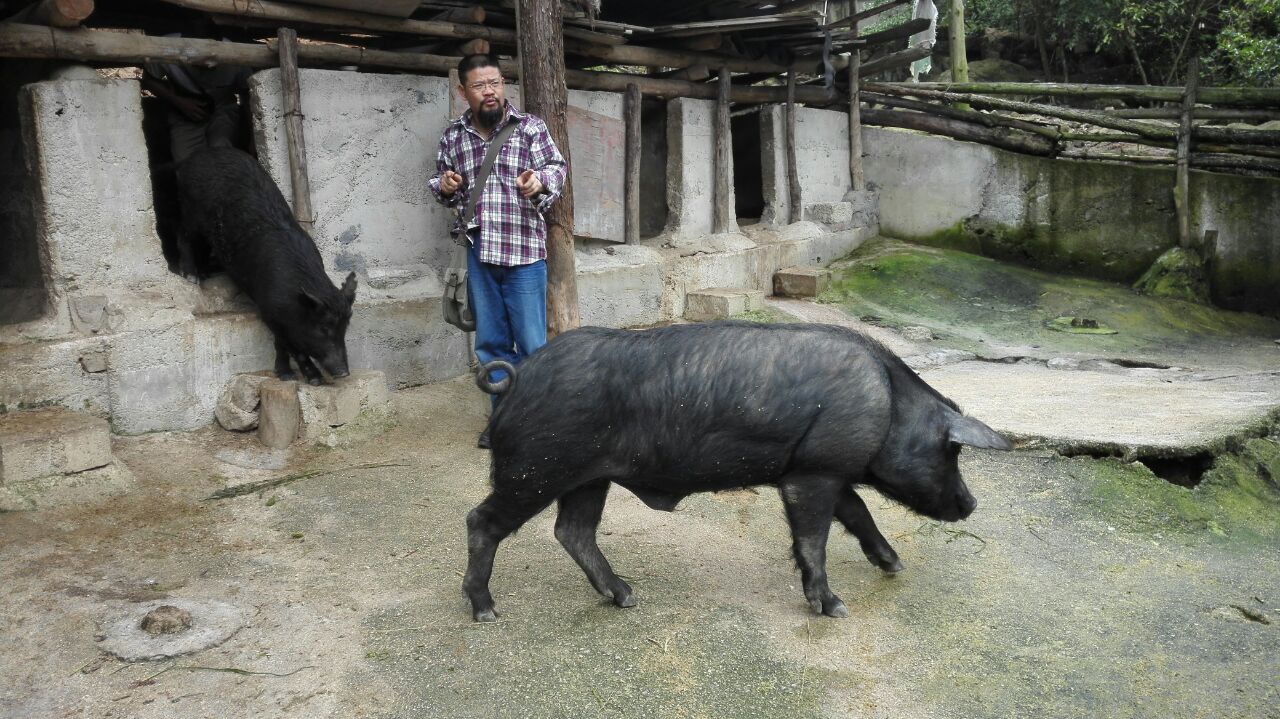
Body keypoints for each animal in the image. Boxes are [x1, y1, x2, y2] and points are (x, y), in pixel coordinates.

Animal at [172, 144, 355, 381]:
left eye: (344, 328)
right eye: (323, 328)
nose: (344, 372)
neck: (295, 298)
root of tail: (193, 159)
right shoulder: (269, 310)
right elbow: (286, 344)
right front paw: (297, 377)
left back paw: (203, 274)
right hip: (190, 210)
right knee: (183, 235)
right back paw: (191, 277)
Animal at [465, 318, 1013, 616]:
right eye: (952, 451)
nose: (971, 503)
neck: (889, 405)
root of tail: (516, 379)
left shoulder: (825, 468)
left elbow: (859, 514)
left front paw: (894, 565)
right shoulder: (812, 474)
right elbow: (813, 539)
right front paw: (835, 607)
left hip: (588, 477)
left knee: (572, 531)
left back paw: (626, 597)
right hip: (537, 468)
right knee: (482, 521)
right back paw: (486, 610)